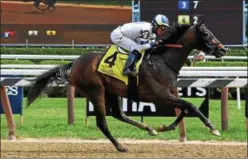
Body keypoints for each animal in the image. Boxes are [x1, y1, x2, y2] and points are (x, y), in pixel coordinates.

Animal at [26, 21, 227, 152]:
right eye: (206, 34)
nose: (223, 49)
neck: (162, 61)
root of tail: (74, 63)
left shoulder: (170, 93)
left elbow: (185, 109)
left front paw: (164, 127)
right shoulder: (160, 95)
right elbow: (191, 106)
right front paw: (213, 128)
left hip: (111, 91)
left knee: (118, 114)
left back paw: (149, 129)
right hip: (95, 91)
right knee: (102, 122)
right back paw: (121, 146)